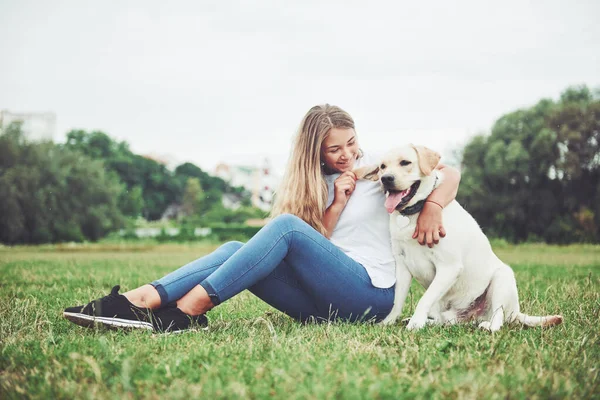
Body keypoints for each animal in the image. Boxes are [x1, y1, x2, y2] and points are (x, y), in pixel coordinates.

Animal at [354, 145, 560, 332]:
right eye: (382, 166)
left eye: (405, 162)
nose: (386, 178)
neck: (412, 214)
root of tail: (516, 313)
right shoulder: (402, 265)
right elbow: (397, 300)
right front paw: (388, 322)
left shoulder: (448, 267)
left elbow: (424, 299)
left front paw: (415, 323)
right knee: (443, 319)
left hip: (502, 278)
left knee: (498, 318)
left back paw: (488, 326)